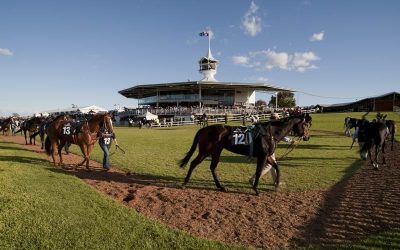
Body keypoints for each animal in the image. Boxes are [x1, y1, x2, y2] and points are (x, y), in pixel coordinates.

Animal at [180, 113, 310, 195]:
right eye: (304, 124)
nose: (307, 137)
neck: (270, 133)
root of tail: (204, 129)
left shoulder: (267, 156)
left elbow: (276, 167)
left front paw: (277, 183)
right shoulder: (262, 156)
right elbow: (259, 171)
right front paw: (256, 189)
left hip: (216, 151)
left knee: (213, 167)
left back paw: (221, 187)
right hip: (205, 151)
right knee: (193, 163)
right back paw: (185, 183)